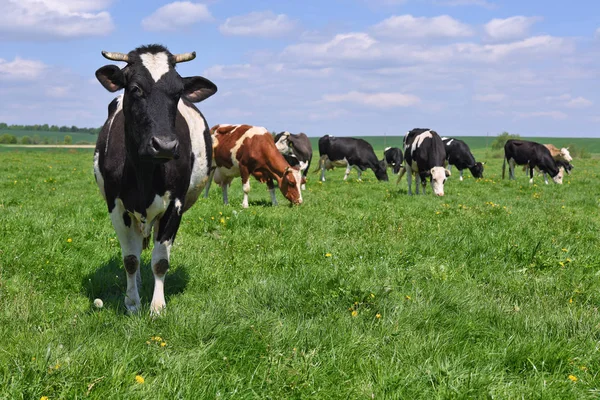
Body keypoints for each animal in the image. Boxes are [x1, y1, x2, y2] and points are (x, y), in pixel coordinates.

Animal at [92, 43, 217, 312]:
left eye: (178, 92)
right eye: (135, 88)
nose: (165, 145)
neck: (145, 175)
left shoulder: (175, 205)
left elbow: (160, 261)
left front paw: (157, 307)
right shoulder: (116, 206)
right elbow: (130, 258)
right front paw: (132, 302)